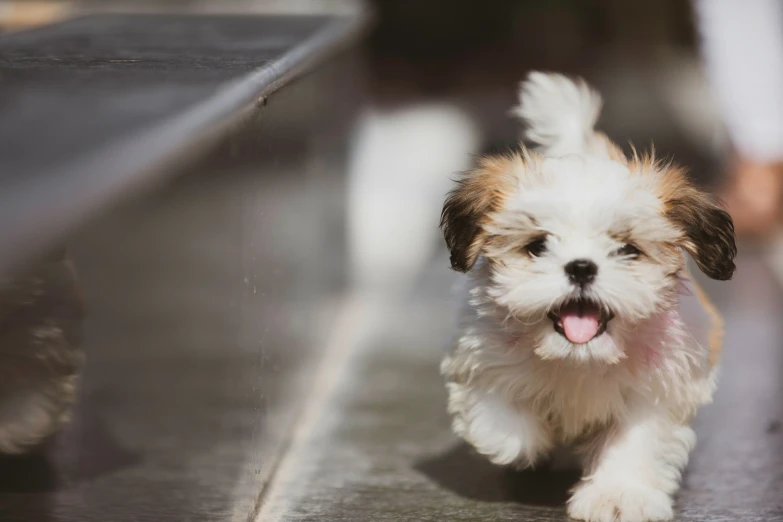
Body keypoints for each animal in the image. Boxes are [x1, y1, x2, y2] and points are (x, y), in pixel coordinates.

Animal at [440, 72, 736, 520]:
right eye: (538, 246)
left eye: (627, 248)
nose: (581, 267)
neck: (580, 357)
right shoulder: (480, 353)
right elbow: (501, 420)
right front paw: (530, 439)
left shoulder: (659, 386)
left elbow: (636, 440)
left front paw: (618, 494)